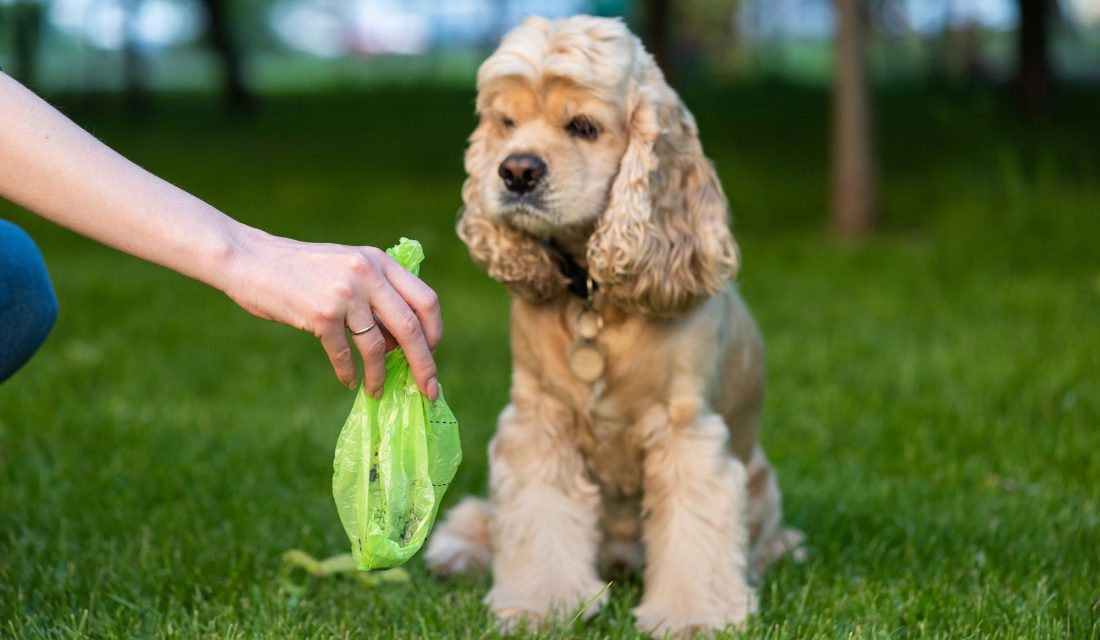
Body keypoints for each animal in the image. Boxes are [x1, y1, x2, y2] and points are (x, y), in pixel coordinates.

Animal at [426, 16, 800, 640]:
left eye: (583, 126)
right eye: (507, 123)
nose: (516, 170)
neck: (594, 295)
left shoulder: (687, 431)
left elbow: (695, 529)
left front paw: (694, 617)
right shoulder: (539, 420)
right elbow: (538, 517)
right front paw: (540, 607)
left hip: (761, 487)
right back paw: (455, 551)